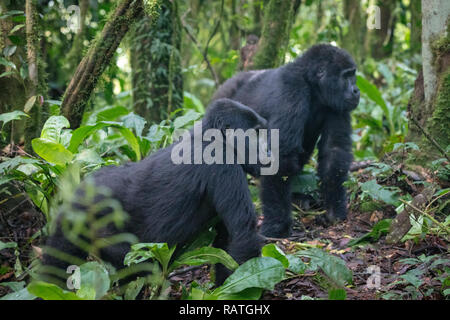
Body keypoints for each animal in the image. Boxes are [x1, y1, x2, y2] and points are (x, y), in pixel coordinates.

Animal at [40, 99, 268, 286]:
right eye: (256, 133)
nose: (268, 151)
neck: (213, 136)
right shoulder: (222, 164)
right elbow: (243, 231)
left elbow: (227, 240)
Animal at [212, 43, 362, 236]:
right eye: (346, 76)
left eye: (352, 75)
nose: (356, 91)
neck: (312, 84)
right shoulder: (292, 90)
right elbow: (282, 156)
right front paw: (278, 225)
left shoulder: (336, 104)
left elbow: (334, 150)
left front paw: (333, 211)